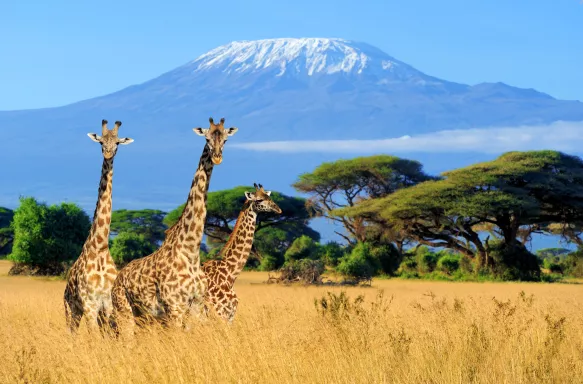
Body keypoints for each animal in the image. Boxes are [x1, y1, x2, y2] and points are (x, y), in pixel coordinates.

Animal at [63, 119, 134, 332]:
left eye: (117, 142)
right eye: (101, 141)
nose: (108, 153)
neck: (101, 246)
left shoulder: (108, 304)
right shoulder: (89, 305)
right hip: (71, 309)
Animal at [109, 116, 237, 336]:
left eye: (226, 139)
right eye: (207, 138)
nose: (217, 157)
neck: (191, 251)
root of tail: (118, 278)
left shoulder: (196, 306)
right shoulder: (174, 307)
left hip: (144, 316)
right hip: (124, 311)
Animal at [202, 184, 282, 322]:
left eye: (269, 197)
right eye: (259, 200)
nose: (279, 209)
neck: (230, 273)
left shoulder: (230, 312)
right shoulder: (221, 310)